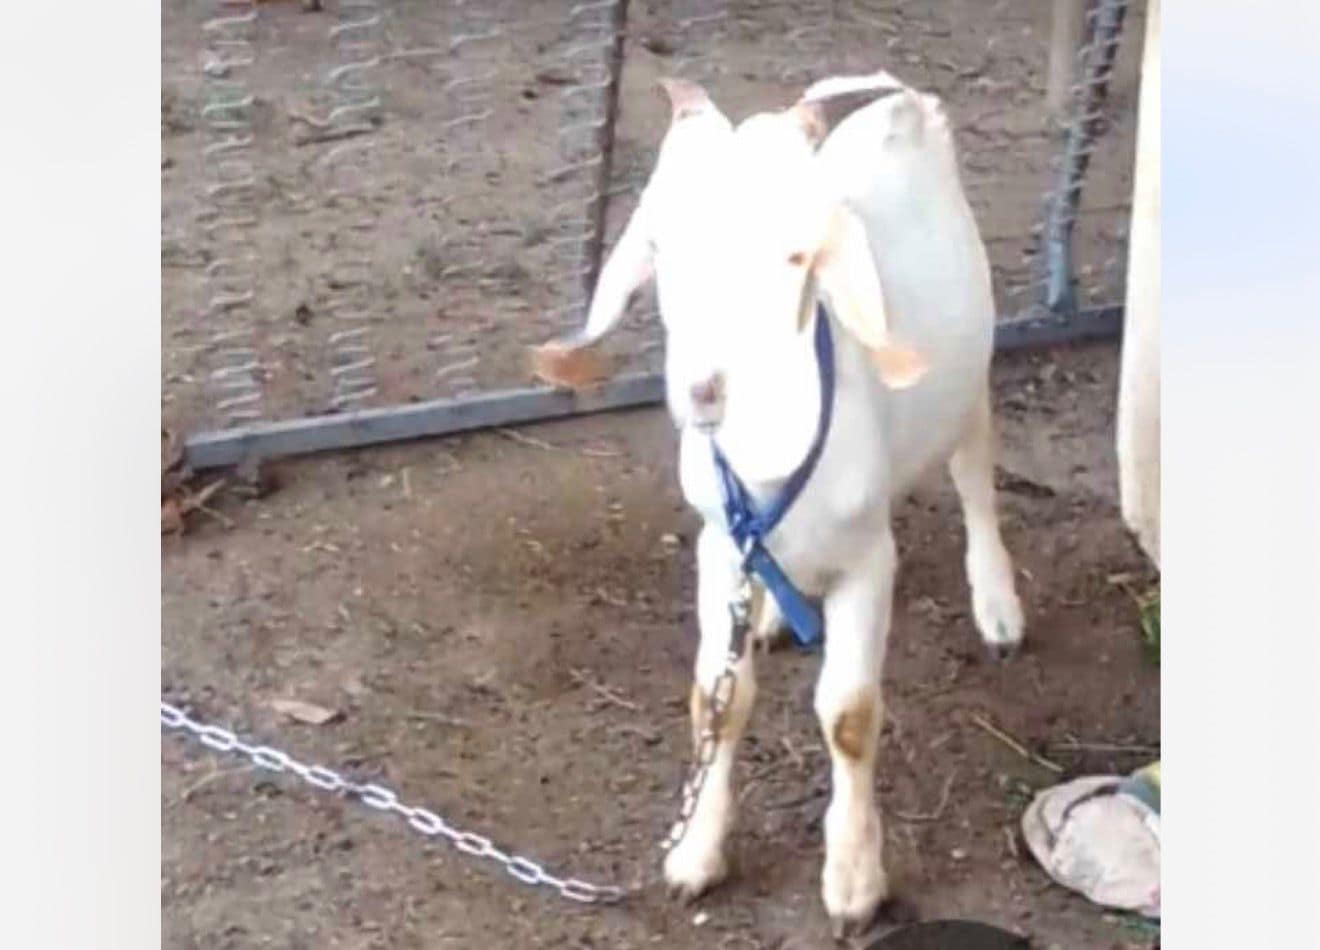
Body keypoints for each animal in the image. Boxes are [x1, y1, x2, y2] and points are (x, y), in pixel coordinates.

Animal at [537, 72, 1025, 935]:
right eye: (659, 250)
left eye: (798, 256)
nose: (704, 390)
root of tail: (900, 106)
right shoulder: (718, 546)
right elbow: (716, 699)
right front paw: (694, 855)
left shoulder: (870, 560)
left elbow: (851, 715)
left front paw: (855, 883)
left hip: (969, 378)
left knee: (974, 474)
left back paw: (997, 605)